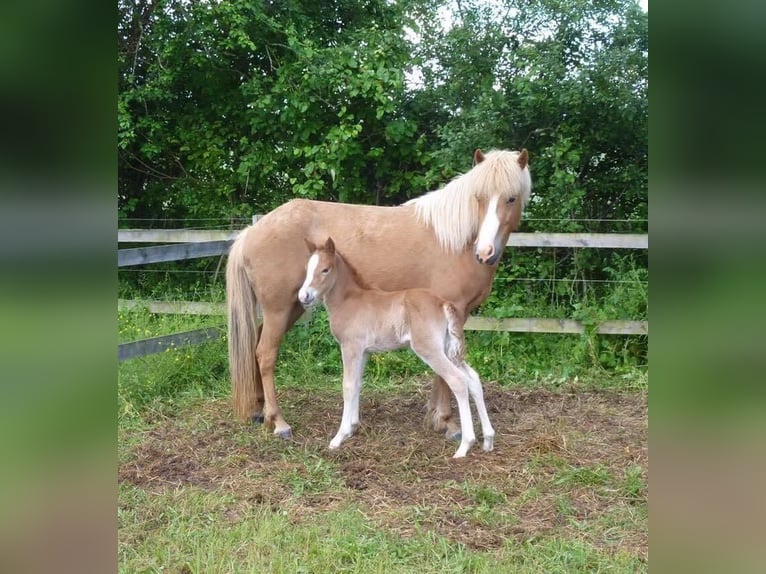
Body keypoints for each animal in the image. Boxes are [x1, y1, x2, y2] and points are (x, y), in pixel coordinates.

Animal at [296, 235, 496, 460]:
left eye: (325, 269)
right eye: (307, 268)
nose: (303, 296)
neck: (349, 300)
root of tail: (442, 303)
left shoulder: (350, 347)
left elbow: (347, 385)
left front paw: (339, 437)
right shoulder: (364, 351)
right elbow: (357, 384)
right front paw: (353, 426)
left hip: (429, 350)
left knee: (458, 381)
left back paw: (464, 446)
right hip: (448, 349)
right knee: (473, 379)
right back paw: (488, 439)